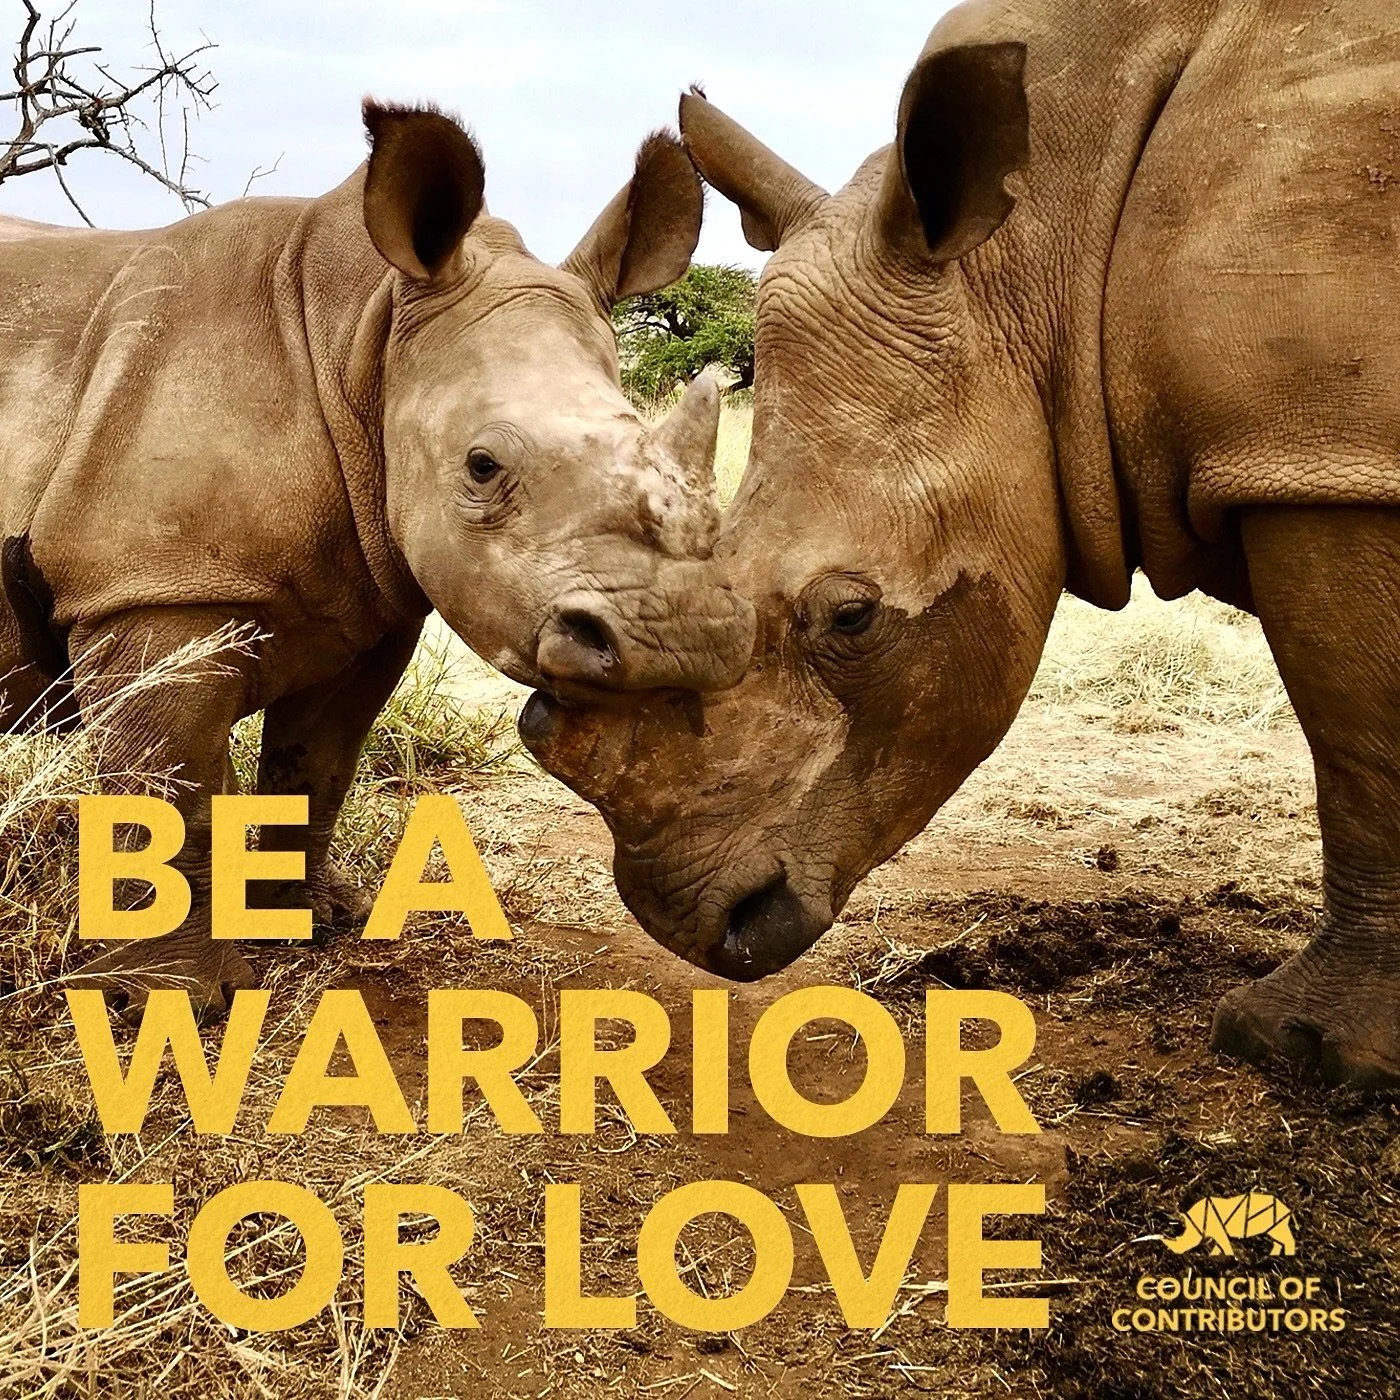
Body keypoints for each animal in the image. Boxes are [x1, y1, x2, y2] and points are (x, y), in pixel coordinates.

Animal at [0, 101, 755, 1014]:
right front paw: (183, 998)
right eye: (482, 467)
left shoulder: (366, 600)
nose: (683, 638)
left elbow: (317, 768)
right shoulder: (151, 591)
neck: (365, 334)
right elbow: (169, 789)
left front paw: (315, 924)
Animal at [523, 0, 1400, 1089]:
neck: (1040, 258)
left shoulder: (1319, 458)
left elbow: (1359, 735)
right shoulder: (1303, 448)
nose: (677, 919)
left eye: (851, 616)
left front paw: (1303, 1050)